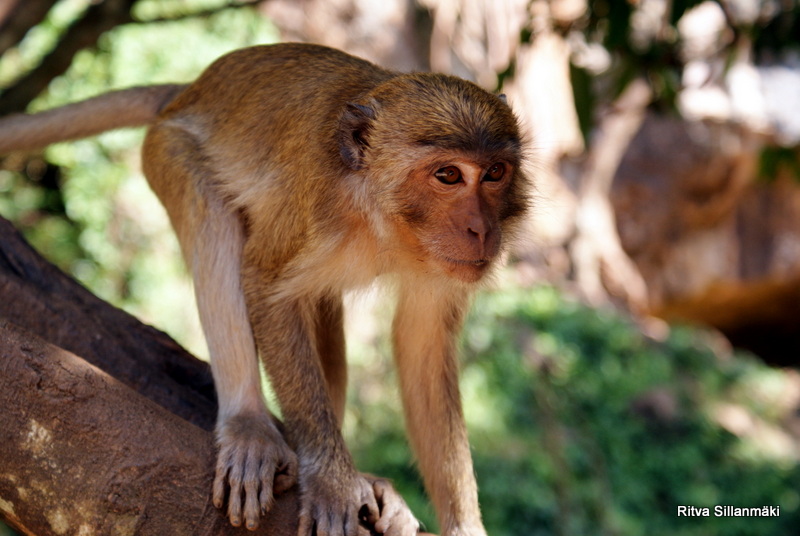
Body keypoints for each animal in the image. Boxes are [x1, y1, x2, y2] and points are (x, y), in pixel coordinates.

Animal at [0, 43, 528, 536]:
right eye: (448, 175)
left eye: (494, 173)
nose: (482, 229)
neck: (379, 213)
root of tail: (192, 89)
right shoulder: (311, 203)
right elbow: (265, 285)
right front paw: (332, 481)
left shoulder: (443, 265)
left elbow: (423, 346)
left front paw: (462, 524)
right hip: (169, 149)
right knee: (212, 218)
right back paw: (249, 424)